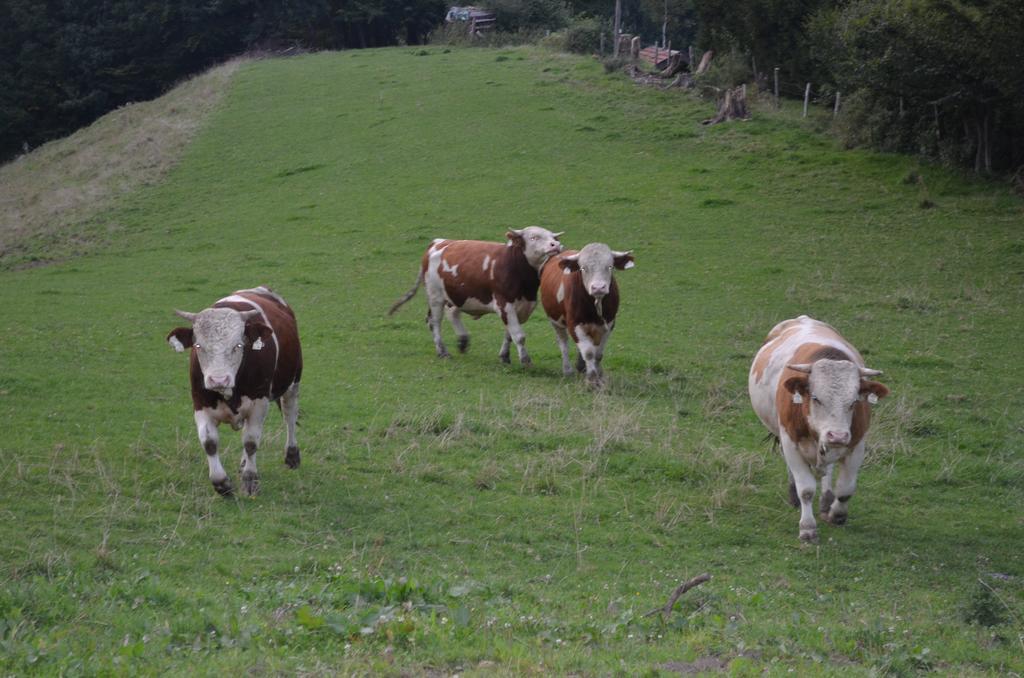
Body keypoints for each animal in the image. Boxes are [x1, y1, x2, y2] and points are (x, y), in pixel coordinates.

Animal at [165, 286, 301, 499]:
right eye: (198, 346)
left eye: (238, 345)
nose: (218, 380)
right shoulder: (200, 403)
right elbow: (209, 443)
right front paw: (221, 483)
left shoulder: (259, 403)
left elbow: (251, 442)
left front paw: (250, 481)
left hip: (293, 382)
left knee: (290, 415)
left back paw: (292, 455)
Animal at [387, 227, 565, 366]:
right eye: (534, 237)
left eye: (552, 237)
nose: (556, 245)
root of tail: (437, 243)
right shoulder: (505, 305)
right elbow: (519, 336)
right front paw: (525, 361)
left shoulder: (523, 307)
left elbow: (509, 334)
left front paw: (505, 357)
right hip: (435, 296)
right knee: (434, 322)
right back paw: (443, 351)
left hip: (456, 294)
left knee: (452, 313)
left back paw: (463, 341)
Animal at [536, 244, 630, 385]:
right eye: (583, 268)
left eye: (610, 266)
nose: (598, 287)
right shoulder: (574, 324)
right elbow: (589, 353)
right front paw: (592, 380)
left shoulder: (609, 324)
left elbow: (598, 354)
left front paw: (599, 376)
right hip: (556, 321)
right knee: (563, 343)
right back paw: (568, 370)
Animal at [745, 315, 888, 544]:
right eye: (815, 398)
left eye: (854, 401)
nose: (837, 435)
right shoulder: (790, 441)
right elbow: (806, 489)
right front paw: (807, 528)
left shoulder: (857, 443)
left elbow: (846, 488)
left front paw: (837, 515)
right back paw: (794, 496)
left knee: (828, 471)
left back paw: (826, 500)